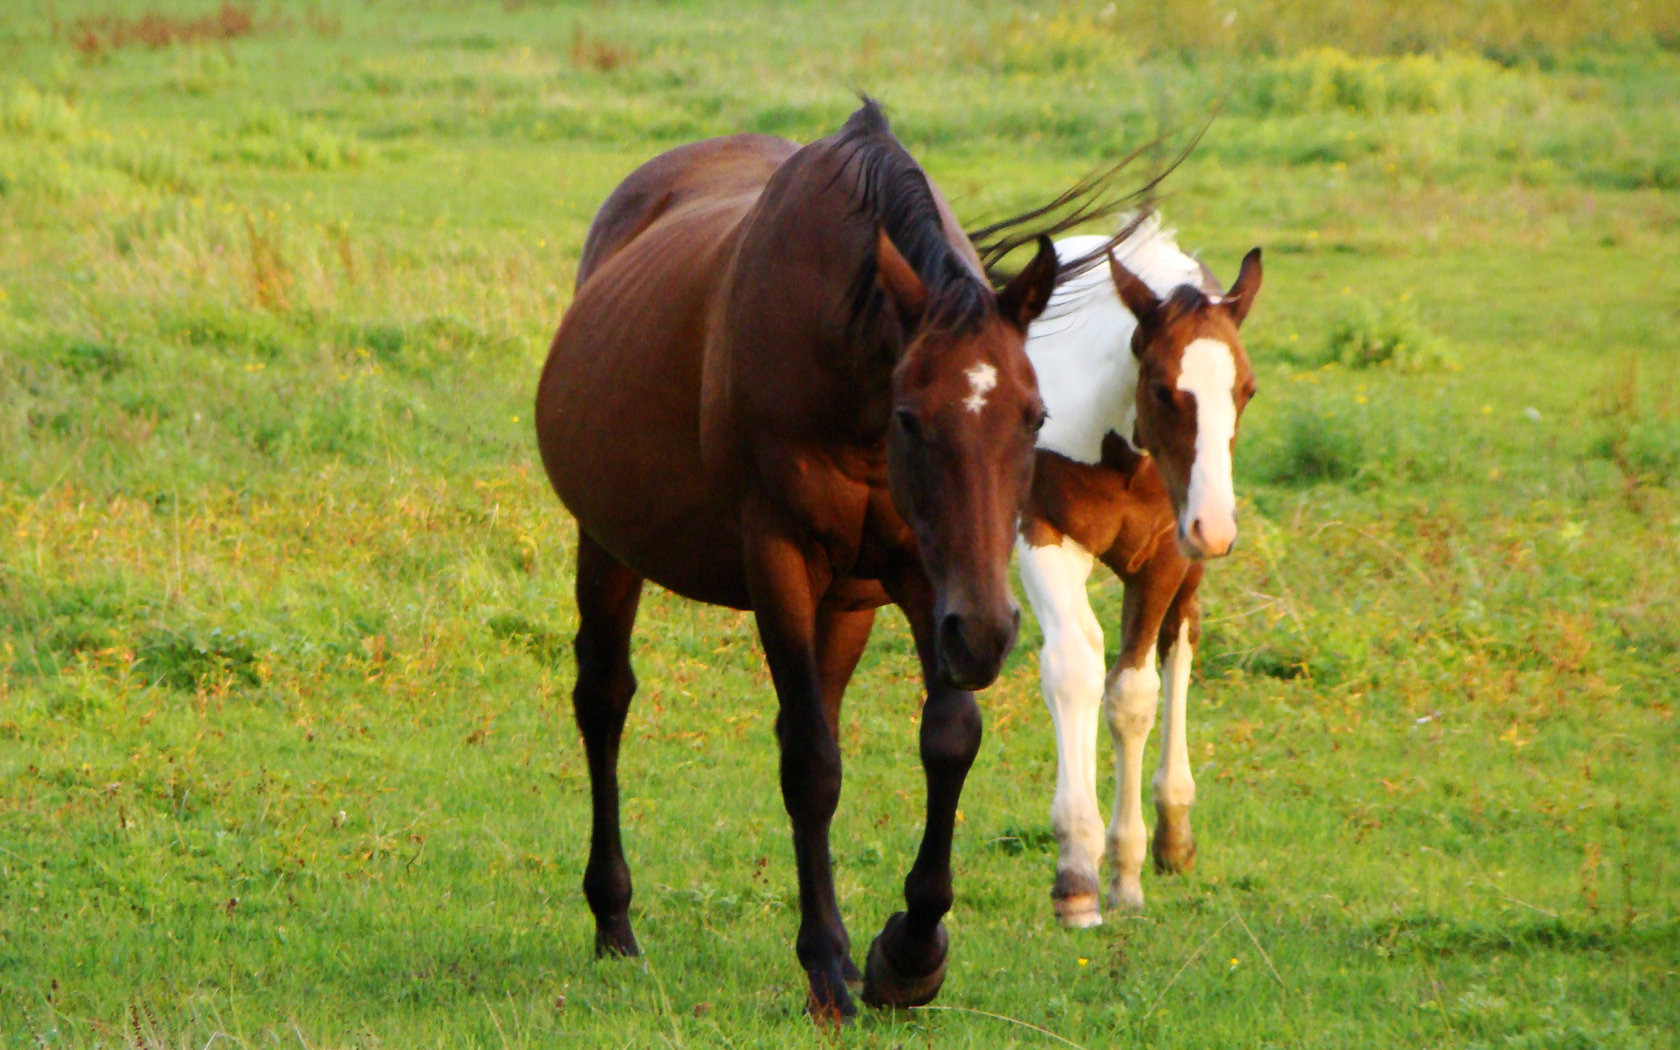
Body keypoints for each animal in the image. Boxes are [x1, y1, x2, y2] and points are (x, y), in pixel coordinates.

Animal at [537, 100, 1055, 1014]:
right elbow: (811, 765)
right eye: (912, 417)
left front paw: (906, 954)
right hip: (606, 546)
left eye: (1033, 417)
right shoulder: (777, 557)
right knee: (603, 701)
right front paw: (826, 967)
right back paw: (615, 923)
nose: (989, 633)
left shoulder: (923, 576)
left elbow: (948, 737)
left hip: (847, 604)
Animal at [1007, 216, 1263, 920]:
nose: (1216, 528)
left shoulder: (1165, 555)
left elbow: (1132, 693)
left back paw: (1174, 828)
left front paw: (1123, 870)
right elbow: (1075, 666)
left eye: (1246, 389)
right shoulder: (1042, 531)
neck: (1114, 444)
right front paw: (1077, 875)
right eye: (1161, 389)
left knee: (1180, 640)